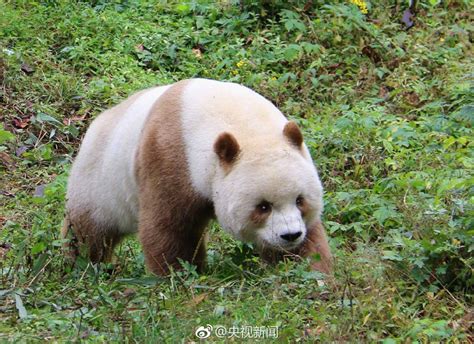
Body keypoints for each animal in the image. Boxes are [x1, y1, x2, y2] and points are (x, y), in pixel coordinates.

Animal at [63, 78, 332, 274]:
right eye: (263, 206)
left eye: (300, 200)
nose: (290, 235)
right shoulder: (171, 156)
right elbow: (169, 227)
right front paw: (177, 276)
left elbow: (311, 236)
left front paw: (309, 270)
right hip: (99, 180)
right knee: (88, 231)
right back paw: (81, 263)